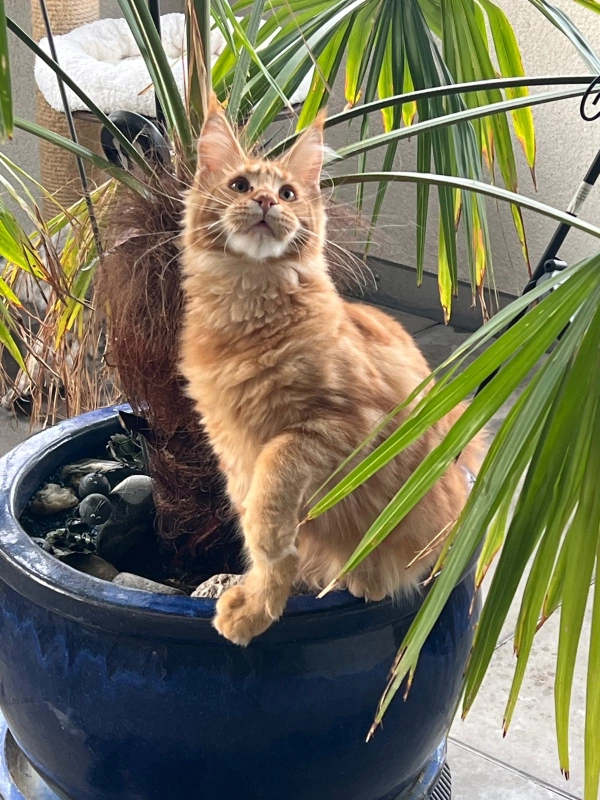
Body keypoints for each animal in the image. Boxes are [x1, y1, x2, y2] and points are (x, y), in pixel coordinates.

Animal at [180, 96, 482, 646]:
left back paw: (367, 578)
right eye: (240, 185)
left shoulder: (345, 426)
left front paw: (267, 540)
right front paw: (260, 606)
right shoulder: (233, 454)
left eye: (287, 193)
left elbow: (276, 473)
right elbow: (269, 550)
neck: (249, 309)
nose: (265, 202)